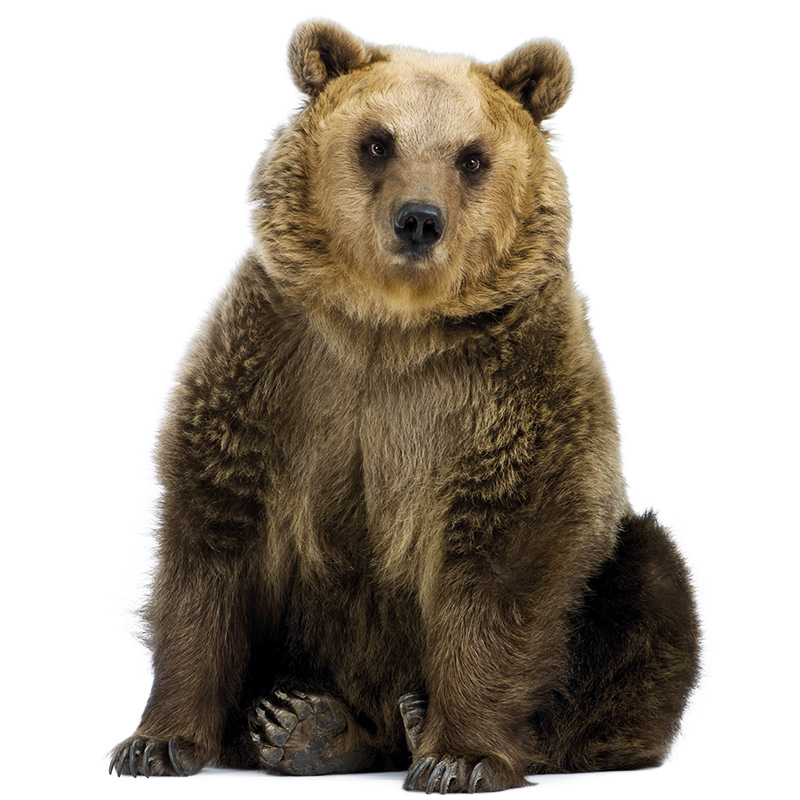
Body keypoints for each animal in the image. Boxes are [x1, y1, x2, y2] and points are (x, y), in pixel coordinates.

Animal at [109, 20, 700, 793]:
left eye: (472, 157)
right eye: (377, 142)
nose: (419, 220)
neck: (389, 327)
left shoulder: (508, 391)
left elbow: (504, 558)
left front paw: (461, 755)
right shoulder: (276, 368)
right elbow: (211, 540)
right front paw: (155, 743)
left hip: (614, 580)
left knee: (651, 592)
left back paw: (416, 724)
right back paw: (304, 723)